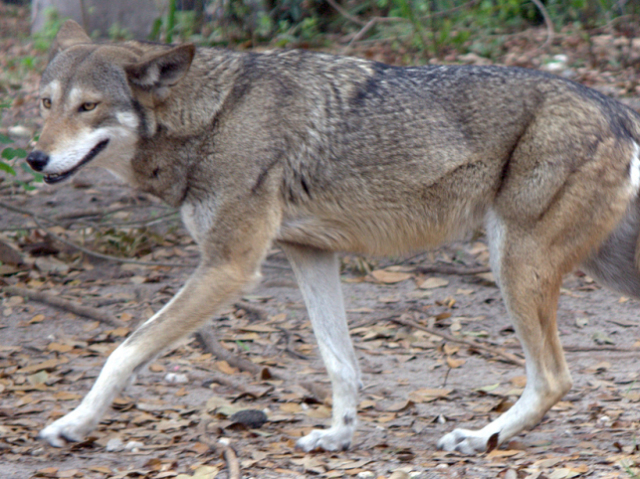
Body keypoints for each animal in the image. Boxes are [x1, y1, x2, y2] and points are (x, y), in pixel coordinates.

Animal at [27, 20, 640, 456]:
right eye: (47, 102)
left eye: (89, 106)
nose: (34, 158)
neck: (211, 118)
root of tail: (616, 108)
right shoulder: (311, 254)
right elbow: (340, 362)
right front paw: (339, 436)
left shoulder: (229, 265)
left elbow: (125, 350)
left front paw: (73, 423)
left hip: (513, 267)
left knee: (553, 378)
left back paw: (478, 438)